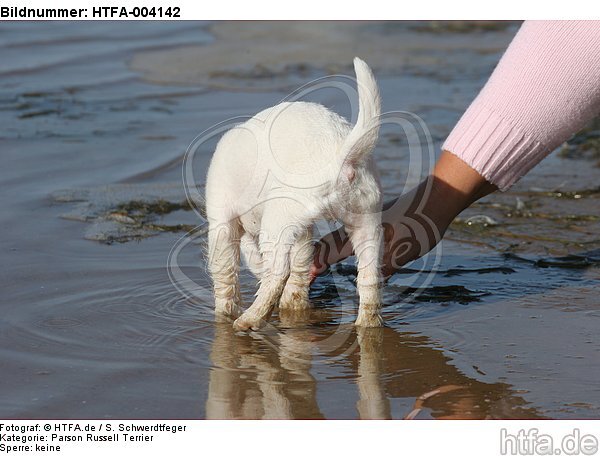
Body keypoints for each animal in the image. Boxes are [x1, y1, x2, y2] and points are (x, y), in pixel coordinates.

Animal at [206, 57, 382, 330]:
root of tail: (341, 156)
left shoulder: (222, 222)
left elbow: (225, 273)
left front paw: (225, 313)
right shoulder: (302, 229)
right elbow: (300, 264)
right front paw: (294, 303)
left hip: (277, 219)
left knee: (277, 272)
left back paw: (249, 319)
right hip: (366, 221)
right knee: (369, 278)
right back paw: (367, 323)